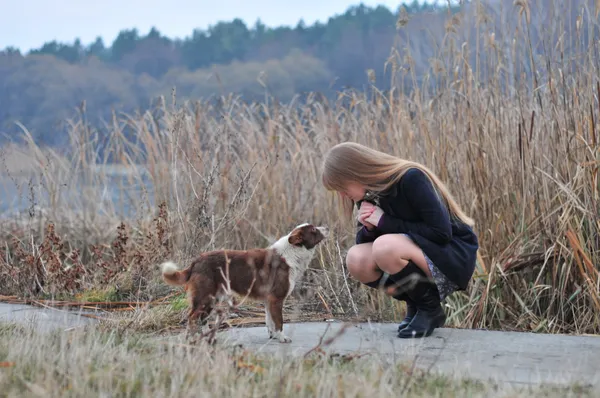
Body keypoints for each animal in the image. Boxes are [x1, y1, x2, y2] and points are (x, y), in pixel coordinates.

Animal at [159, 224, 328, 342]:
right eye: (314, 229)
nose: (326, 228)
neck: (292, 252)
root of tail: (196, 261)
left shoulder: (269, 300)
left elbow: (269, 321)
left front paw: (273, 336)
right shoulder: (276, 299)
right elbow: (279, 322)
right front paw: (282, 338)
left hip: (212, 298)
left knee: (202, 319)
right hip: (205, 297)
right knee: (193, 318)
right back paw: (192, 340)